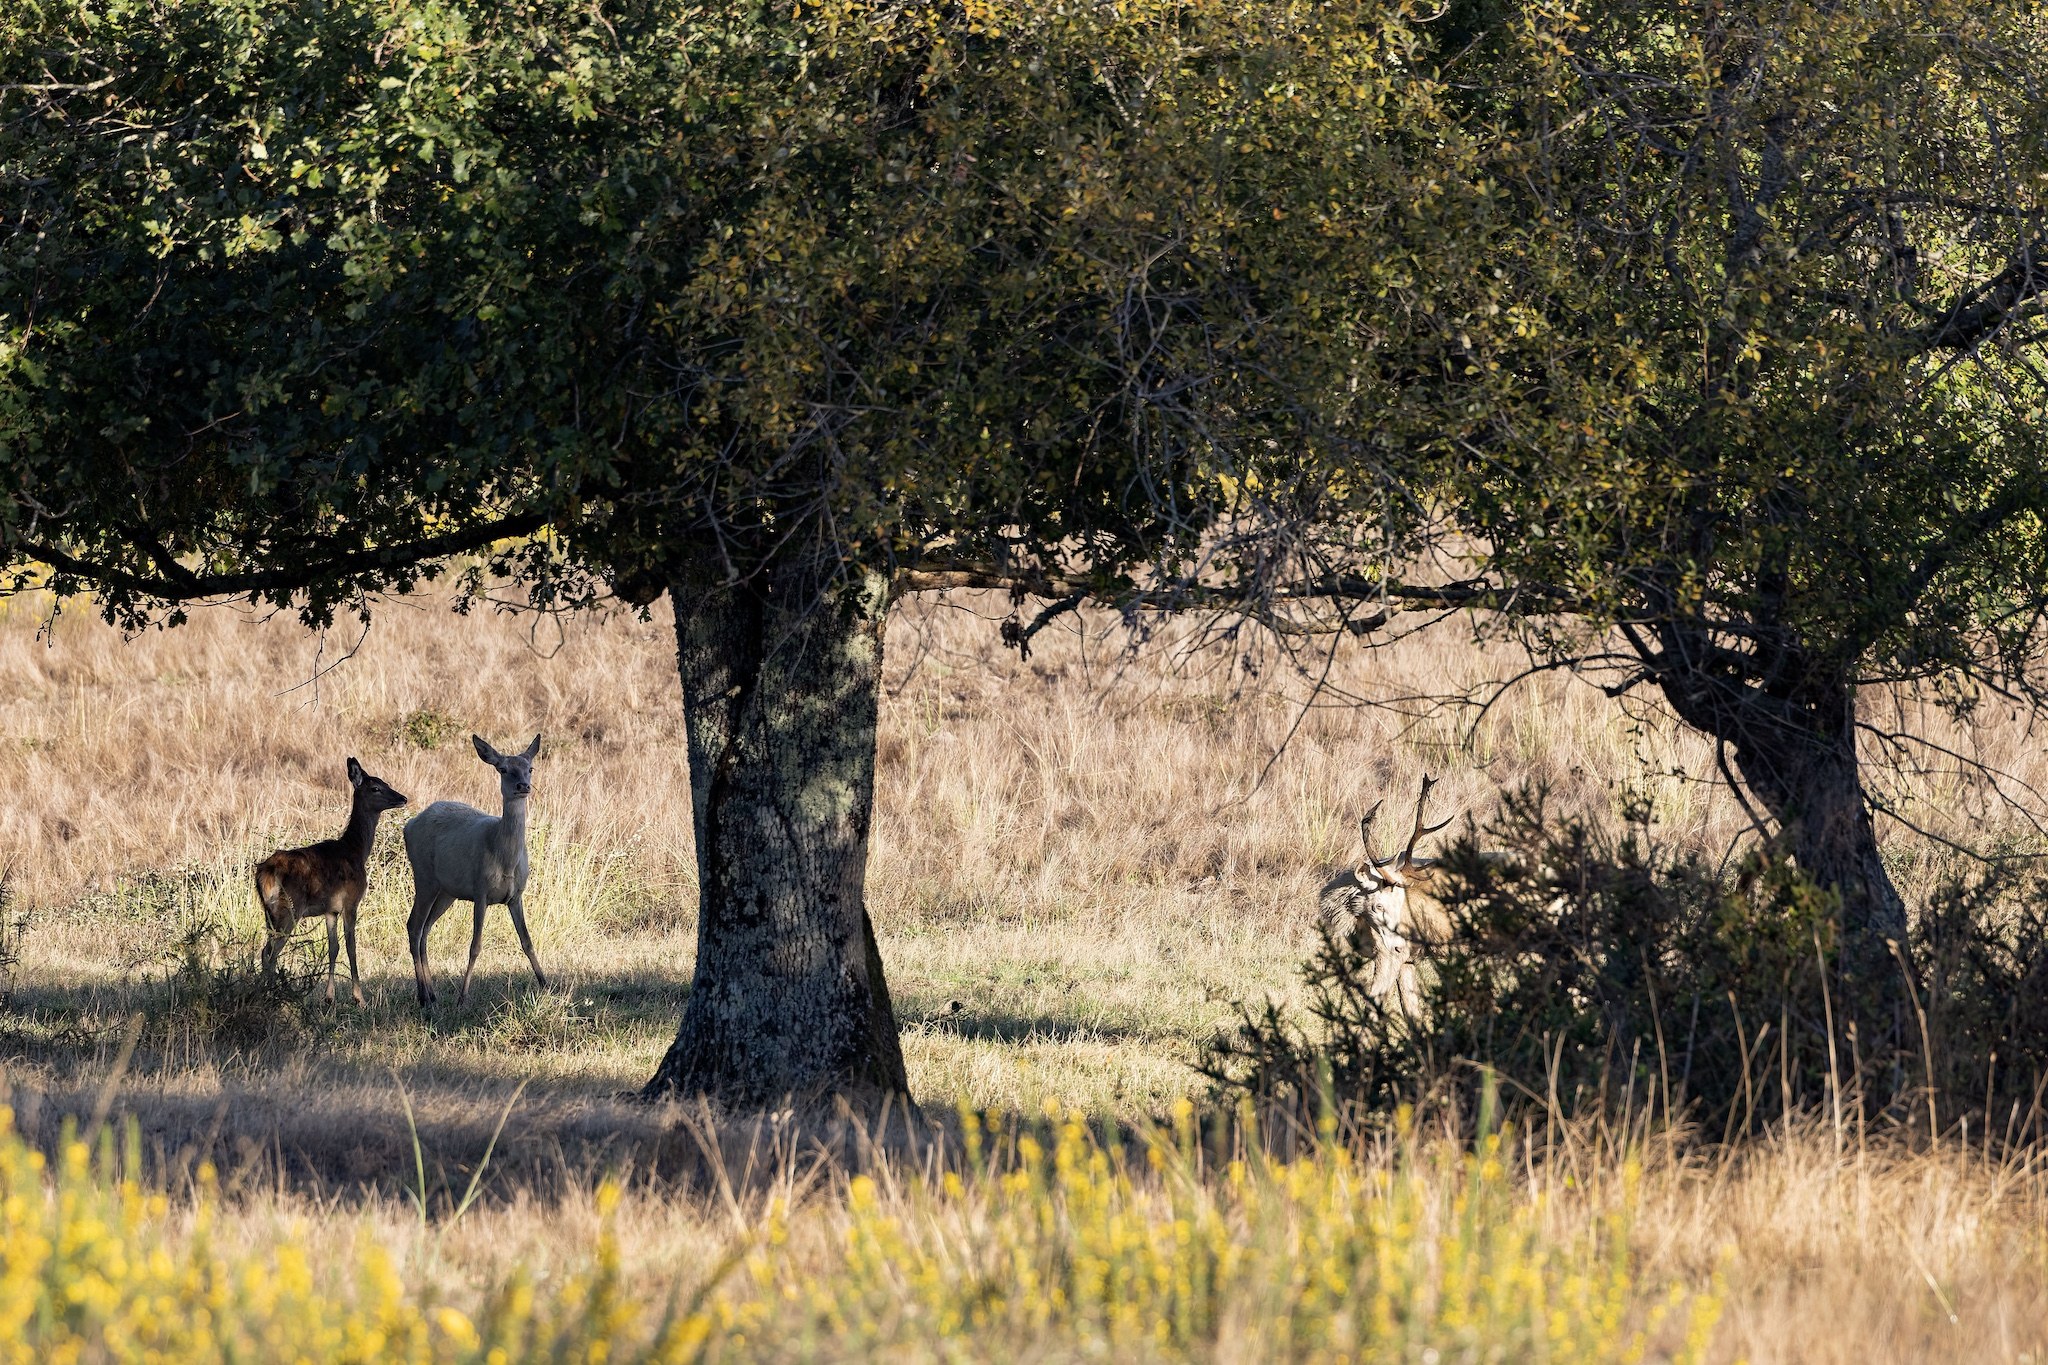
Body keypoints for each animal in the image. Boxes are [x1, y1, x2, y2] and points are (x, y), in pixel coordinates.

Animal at [255, 758, 410, 1005]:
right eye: (375, 787)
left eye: (386, 783)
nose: (402, 798)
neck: (356, 851)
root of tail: (265, 872)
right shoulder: (351, 902)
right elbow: (351, 946)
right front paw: (360, 998)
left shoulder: (331, 910)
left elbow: (333, 947)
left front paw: (329, 997)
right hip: (289, 909)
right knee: (270, 952)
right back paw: (269, 996)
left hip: (268, 912)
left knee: (265, 951)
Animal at [403, 733, 547, 1008]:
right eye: (503, 769)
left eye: (530, 768)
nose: (523, 786)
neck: (504, 857)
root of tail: (409, 824)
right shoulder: (481, 891)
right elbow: (475, 945)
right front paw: (463, 997)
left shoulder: (516, 896)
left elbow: (527, 941)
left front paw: (546, 984)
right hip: (424, 877)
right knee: (414, 925)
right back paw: (424, 996)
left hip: (446, 891)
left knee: (425, 929)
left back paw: (432, 993)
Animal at [1316, 775, 1462, 1017]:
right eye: (1378, 906)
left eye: (1398, 904)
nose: (1399, 944)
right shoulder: (1409, 959)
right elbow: (1411, 1011)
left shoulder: (1388, 955)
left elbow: (1372, 1007)